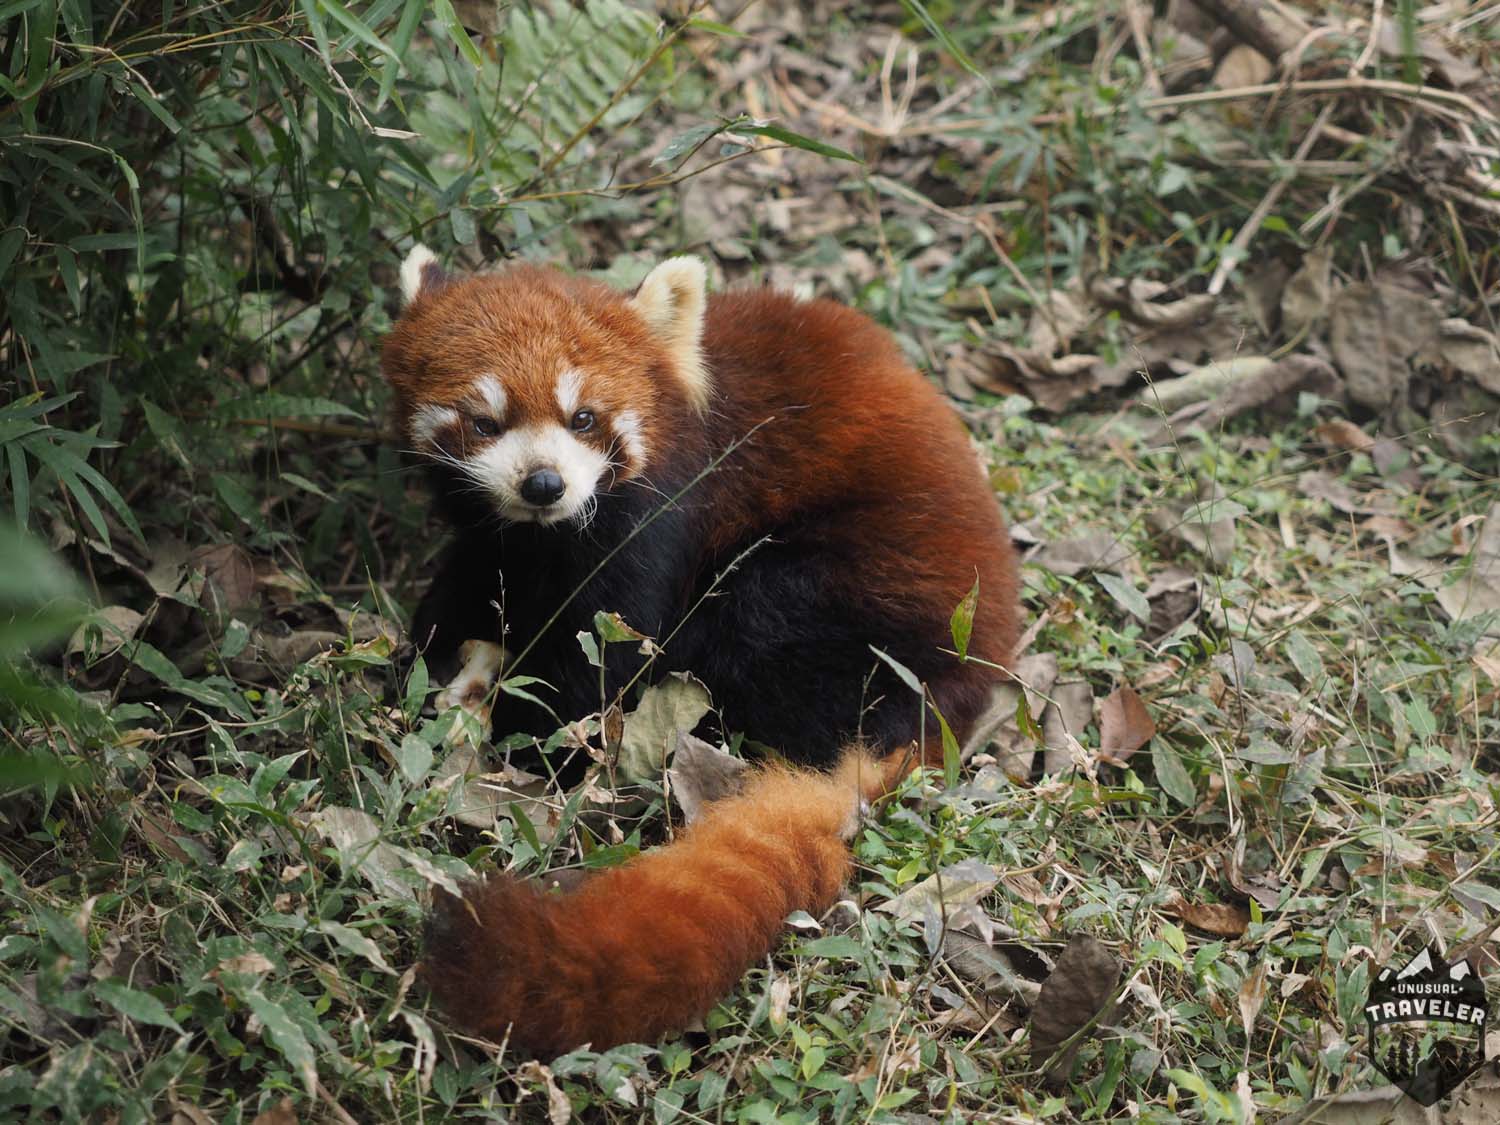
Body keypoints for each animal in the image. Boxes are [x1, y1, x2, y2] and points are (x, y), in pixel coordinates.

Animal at [381, 244, 1026, 1056]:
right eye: (484, 420)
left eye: (583, 418)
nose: (544, 484)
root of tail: (940, 702)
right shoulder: (499, 537)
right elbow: (472, 580)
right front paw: (426, 660)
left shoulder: (659, 514)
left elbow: (603, 659)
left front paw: (517, 728)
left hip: (862, 592)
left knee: (755, 617)